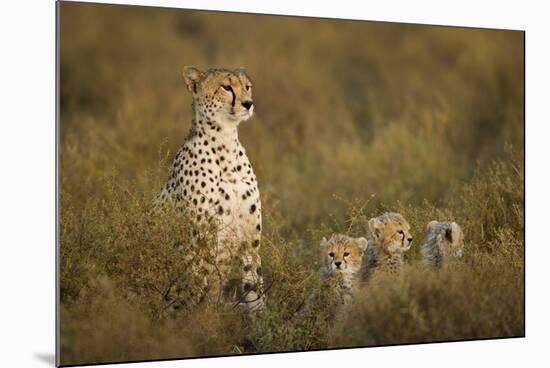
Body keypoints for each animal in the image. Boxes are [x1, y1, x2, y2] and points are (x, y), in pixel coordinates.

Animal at [157, 65, 266, 310]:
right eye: (226, 87)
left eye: (247, 86)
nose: (248, 103)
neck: (226, 144)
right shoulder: (199, 241)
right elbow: (197, 287)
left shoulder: (250, 241)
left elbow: (255, 289)